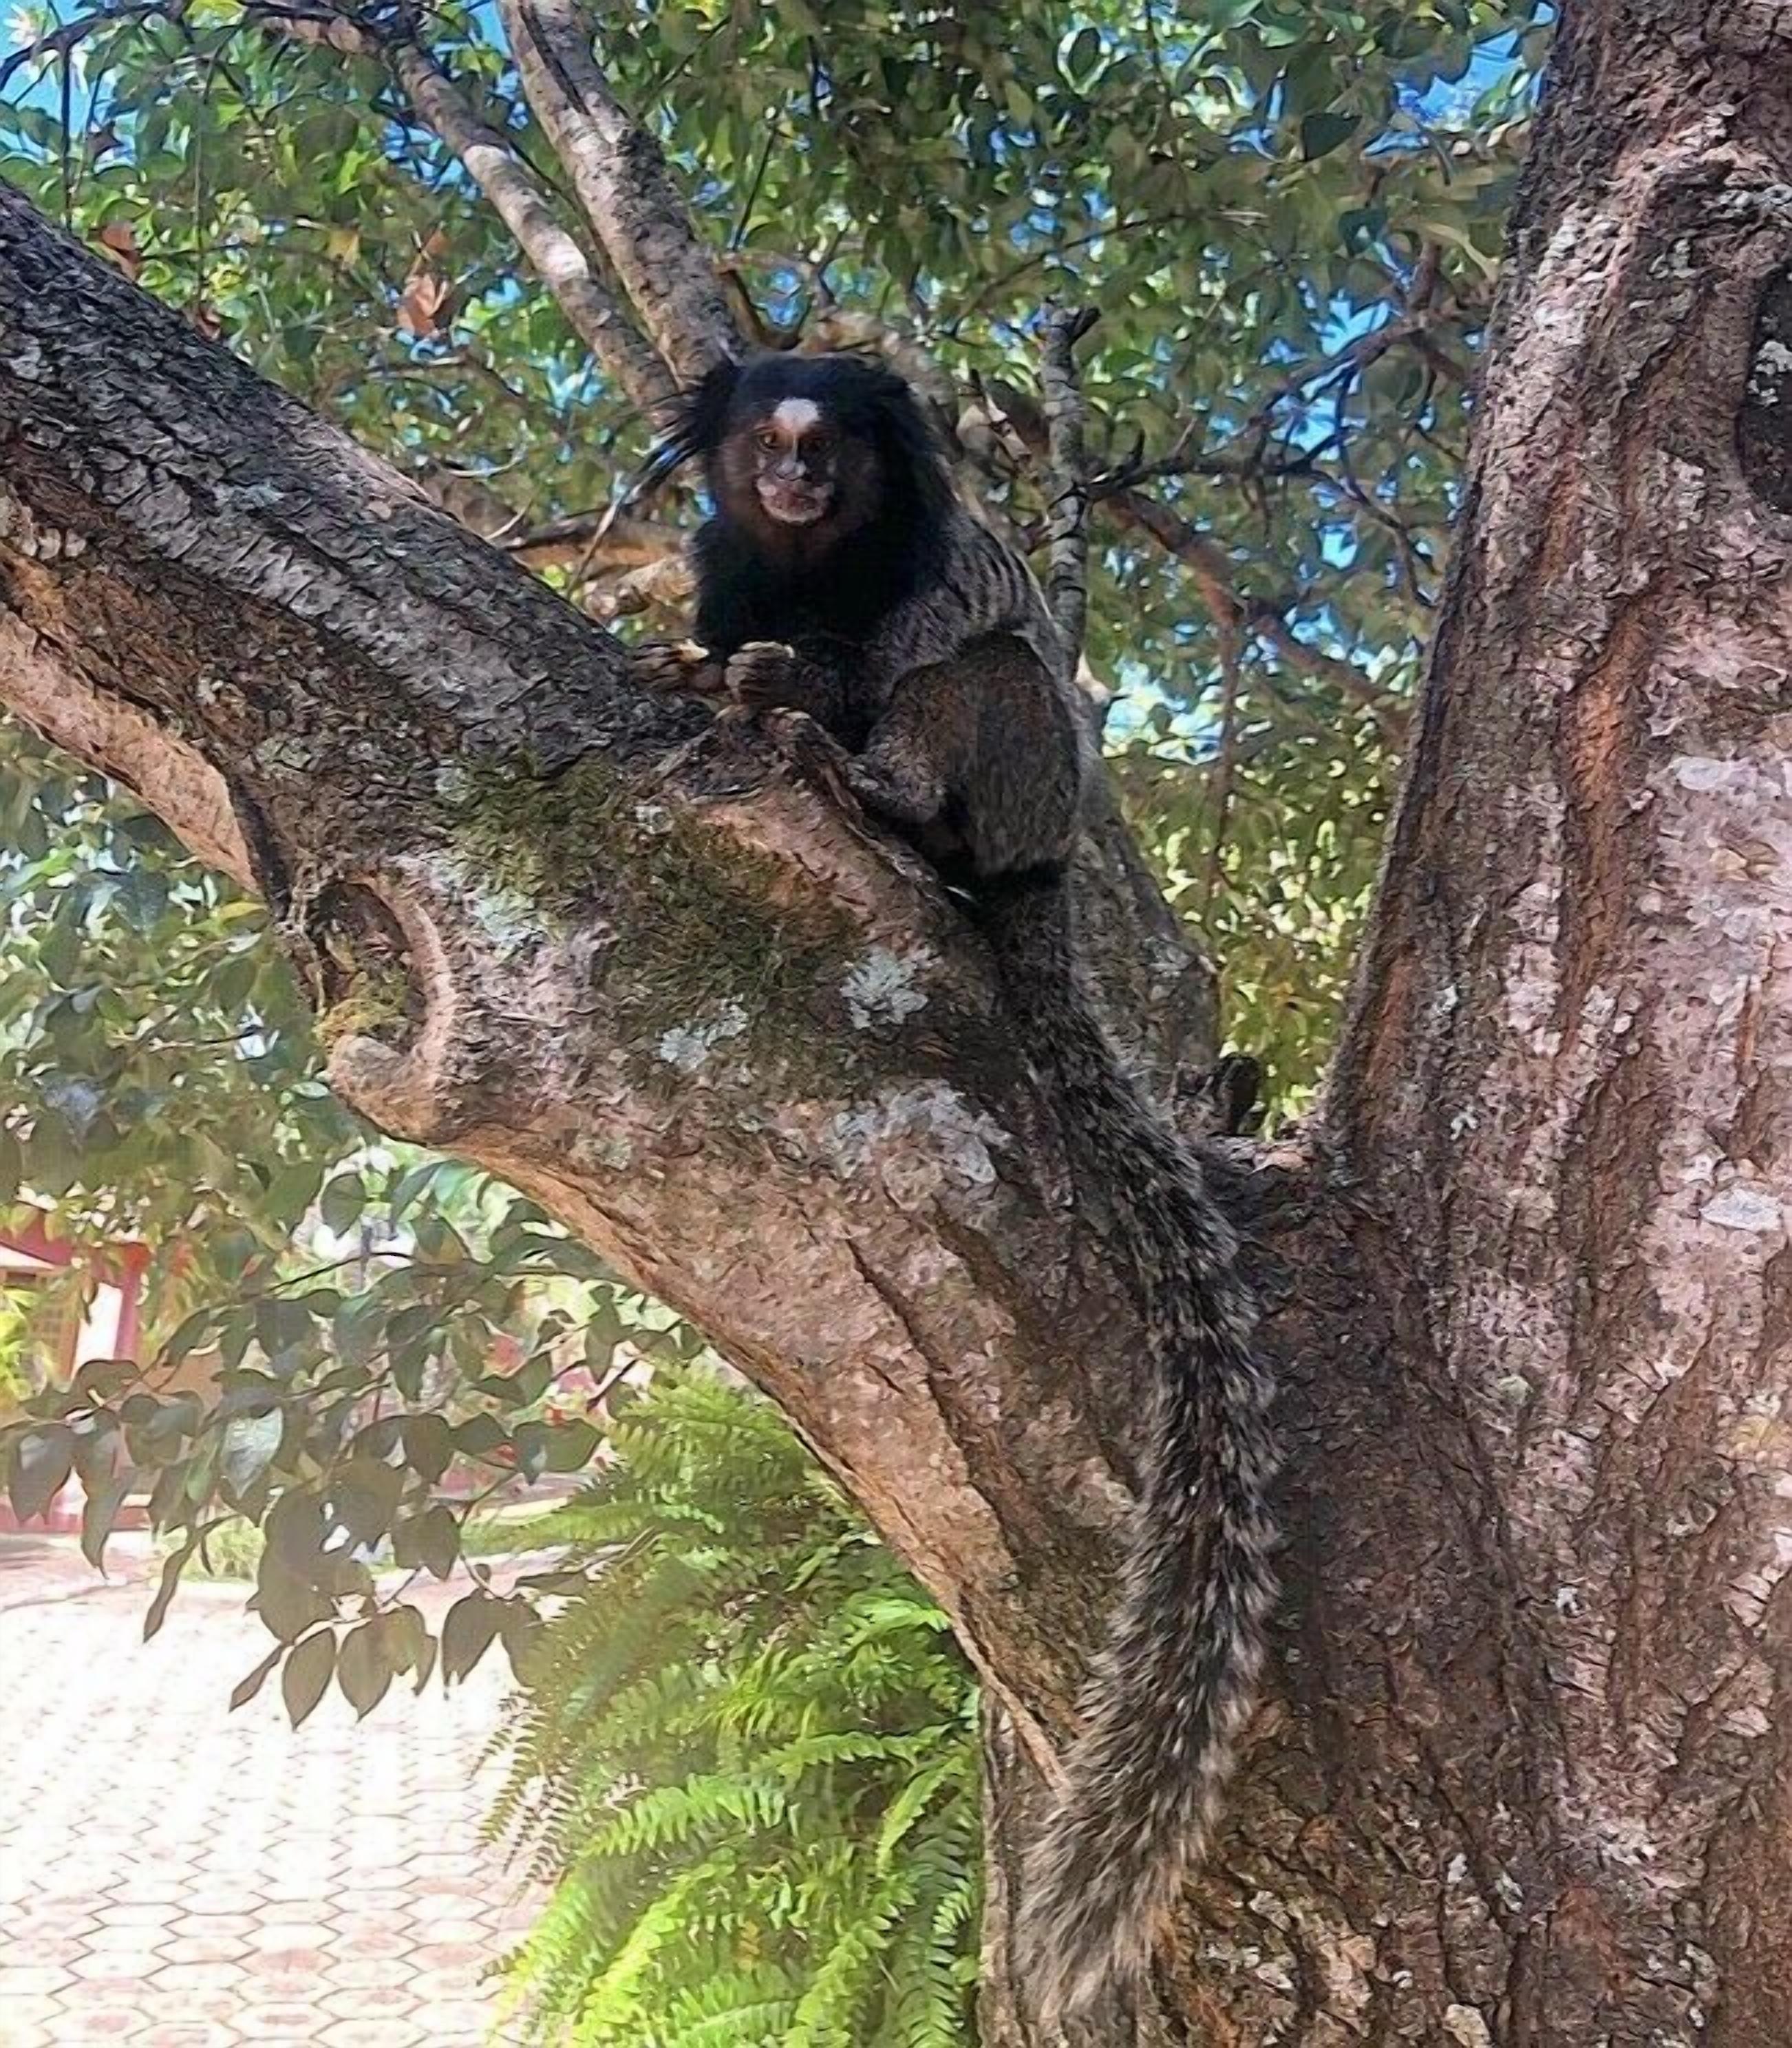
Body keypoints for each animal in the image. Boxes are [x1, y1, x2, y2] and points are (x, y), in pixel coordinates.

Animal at [629, 350, 1277, 2023]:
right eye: (764, 444)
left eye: (835, 452)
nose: (796, 479)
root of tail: (1042, 867)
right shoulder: (726, 566)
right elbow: (719, 626)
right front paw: (712, 671)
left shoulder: (923, 580)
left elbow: (954, 637)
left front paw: (792, 696)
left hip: (1028, 787)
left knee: (983, 686)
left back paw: (885, 792)